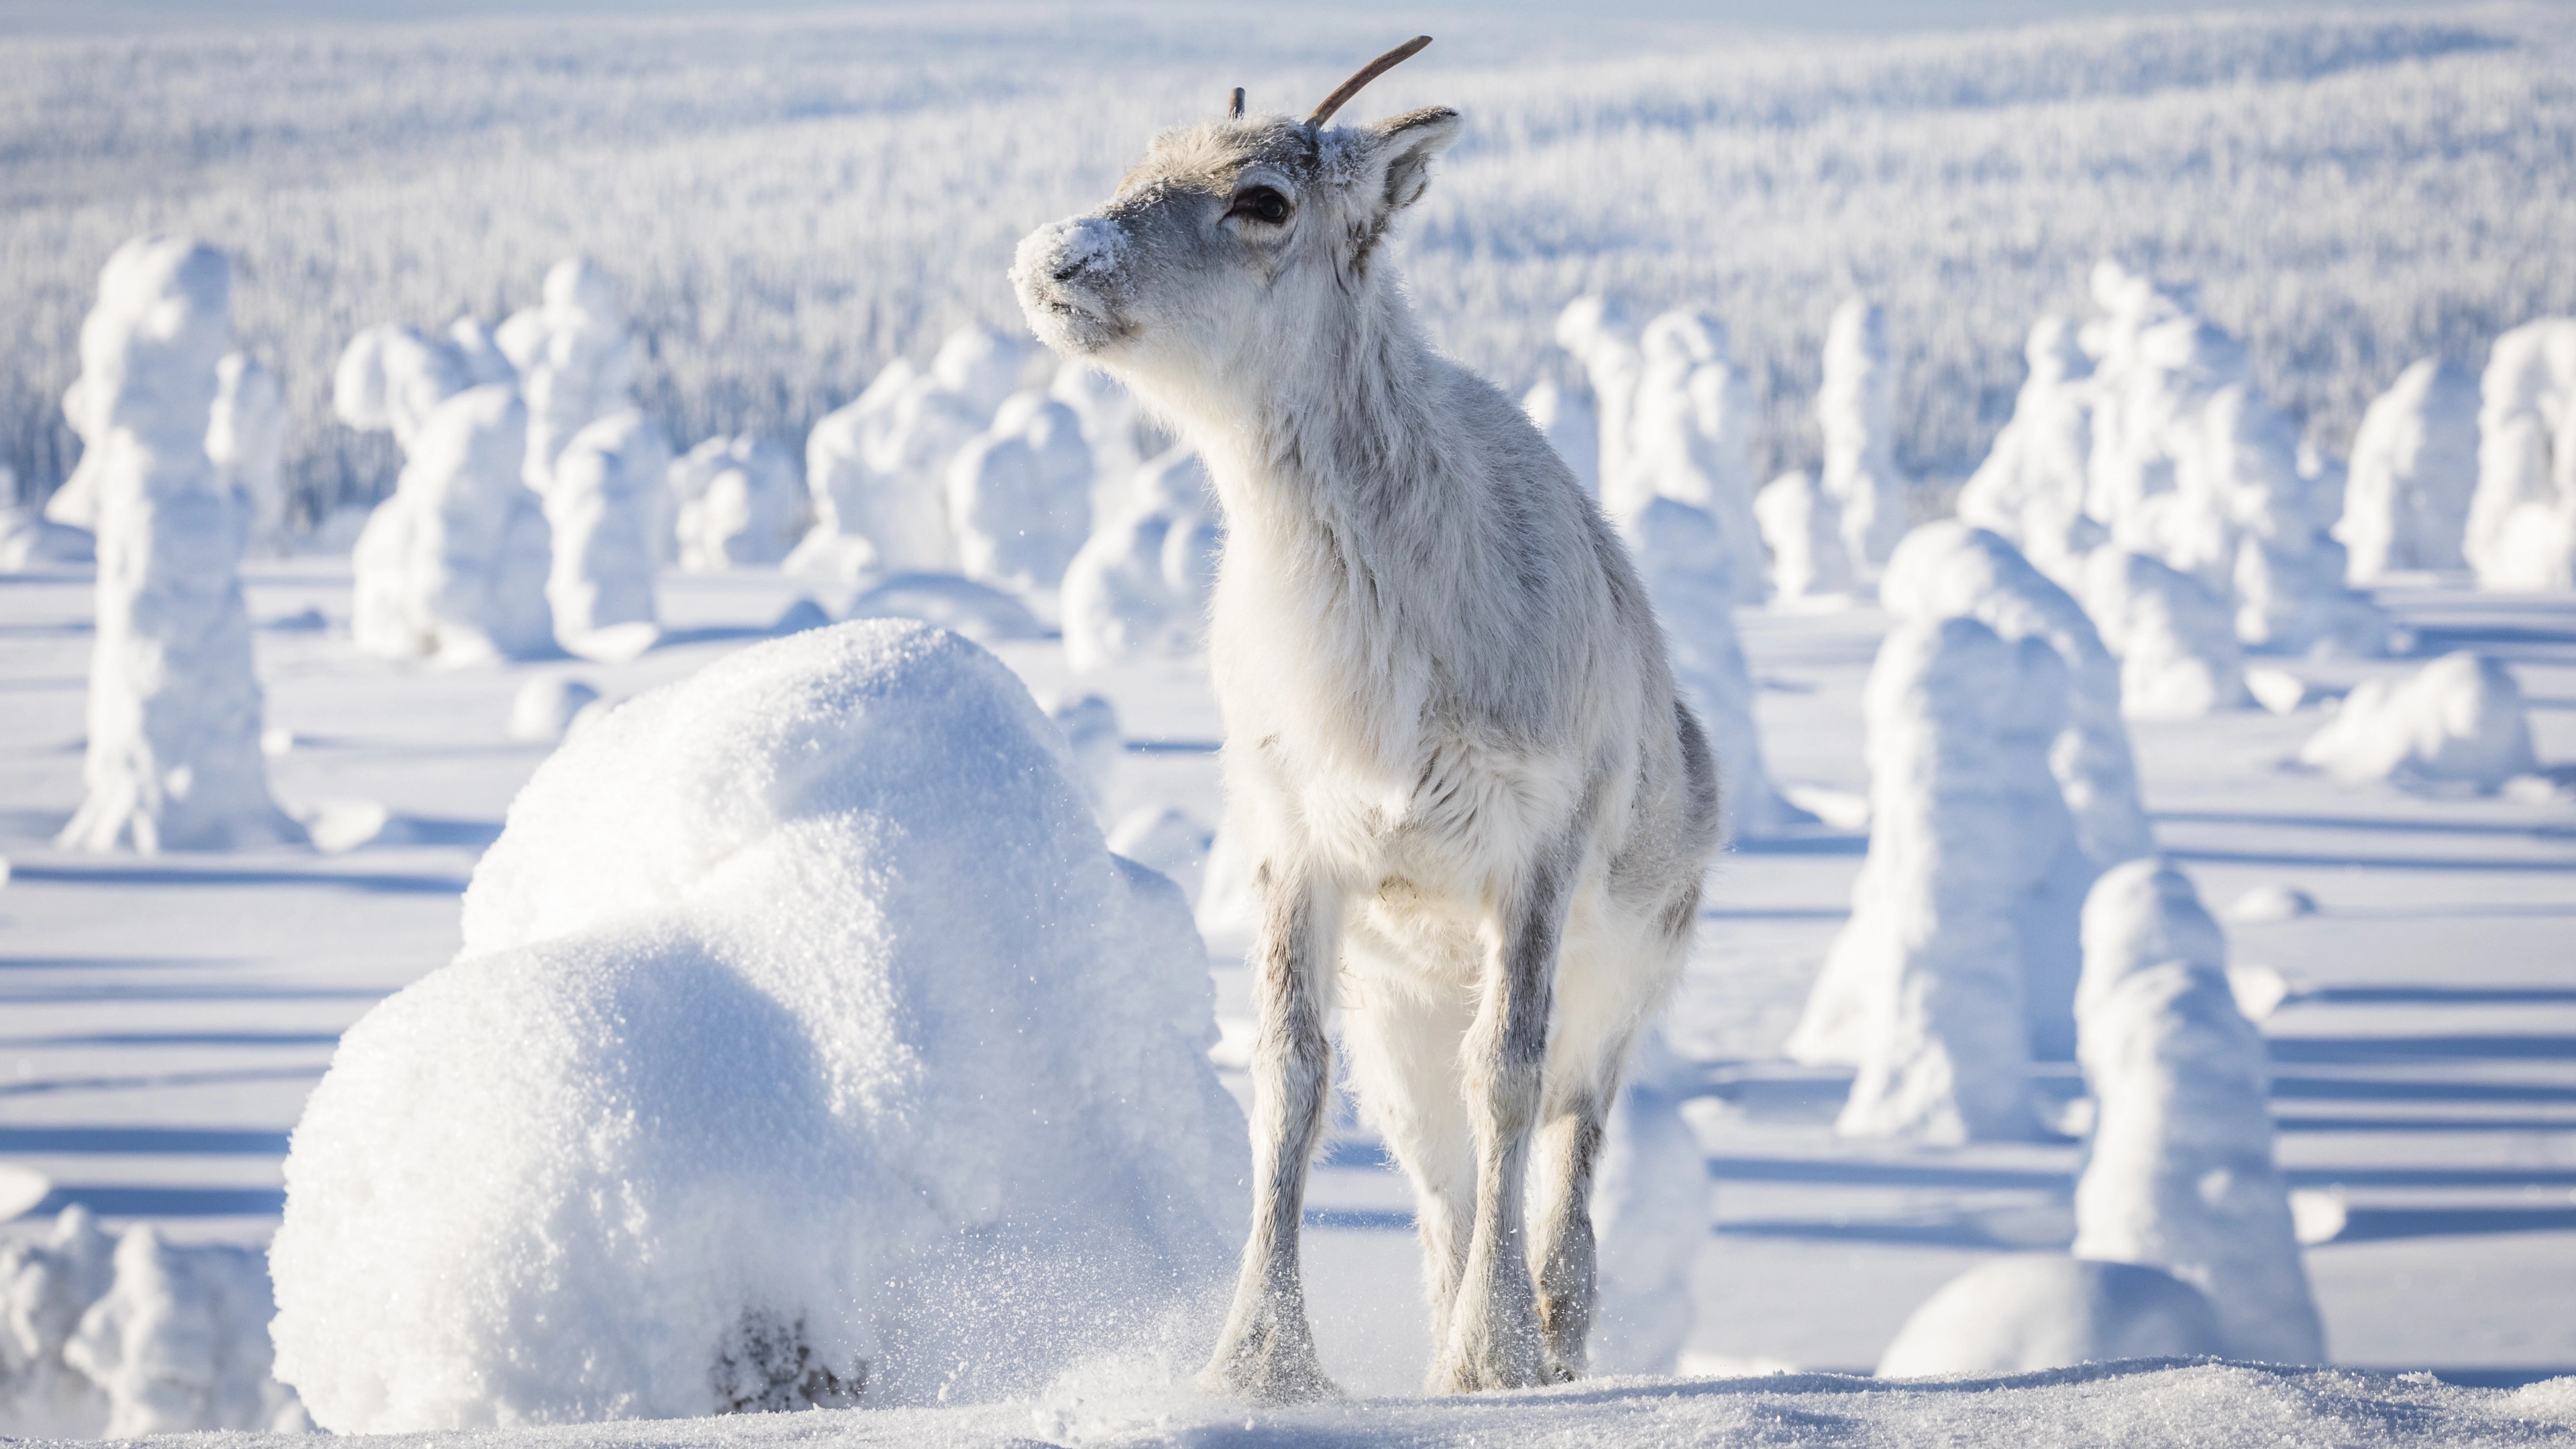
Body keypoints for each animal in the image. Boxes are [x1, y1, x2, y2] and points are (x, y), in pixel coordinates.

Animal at [1010, 38, 1723, 1402]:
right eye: (1141, 163)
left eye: (1263, 199)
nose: (1052, 260)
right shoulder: (1300, 850)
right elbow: (1290, 1081)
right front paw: (1259, 1361)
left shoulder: (1535, 853)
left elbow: (1512, 1080)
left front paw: (1498, 1357)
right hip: (1405, 1029)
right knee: (1440, 1183)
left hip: (1623, 988)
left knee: (1569, 1141)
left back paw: (1555, 1336)